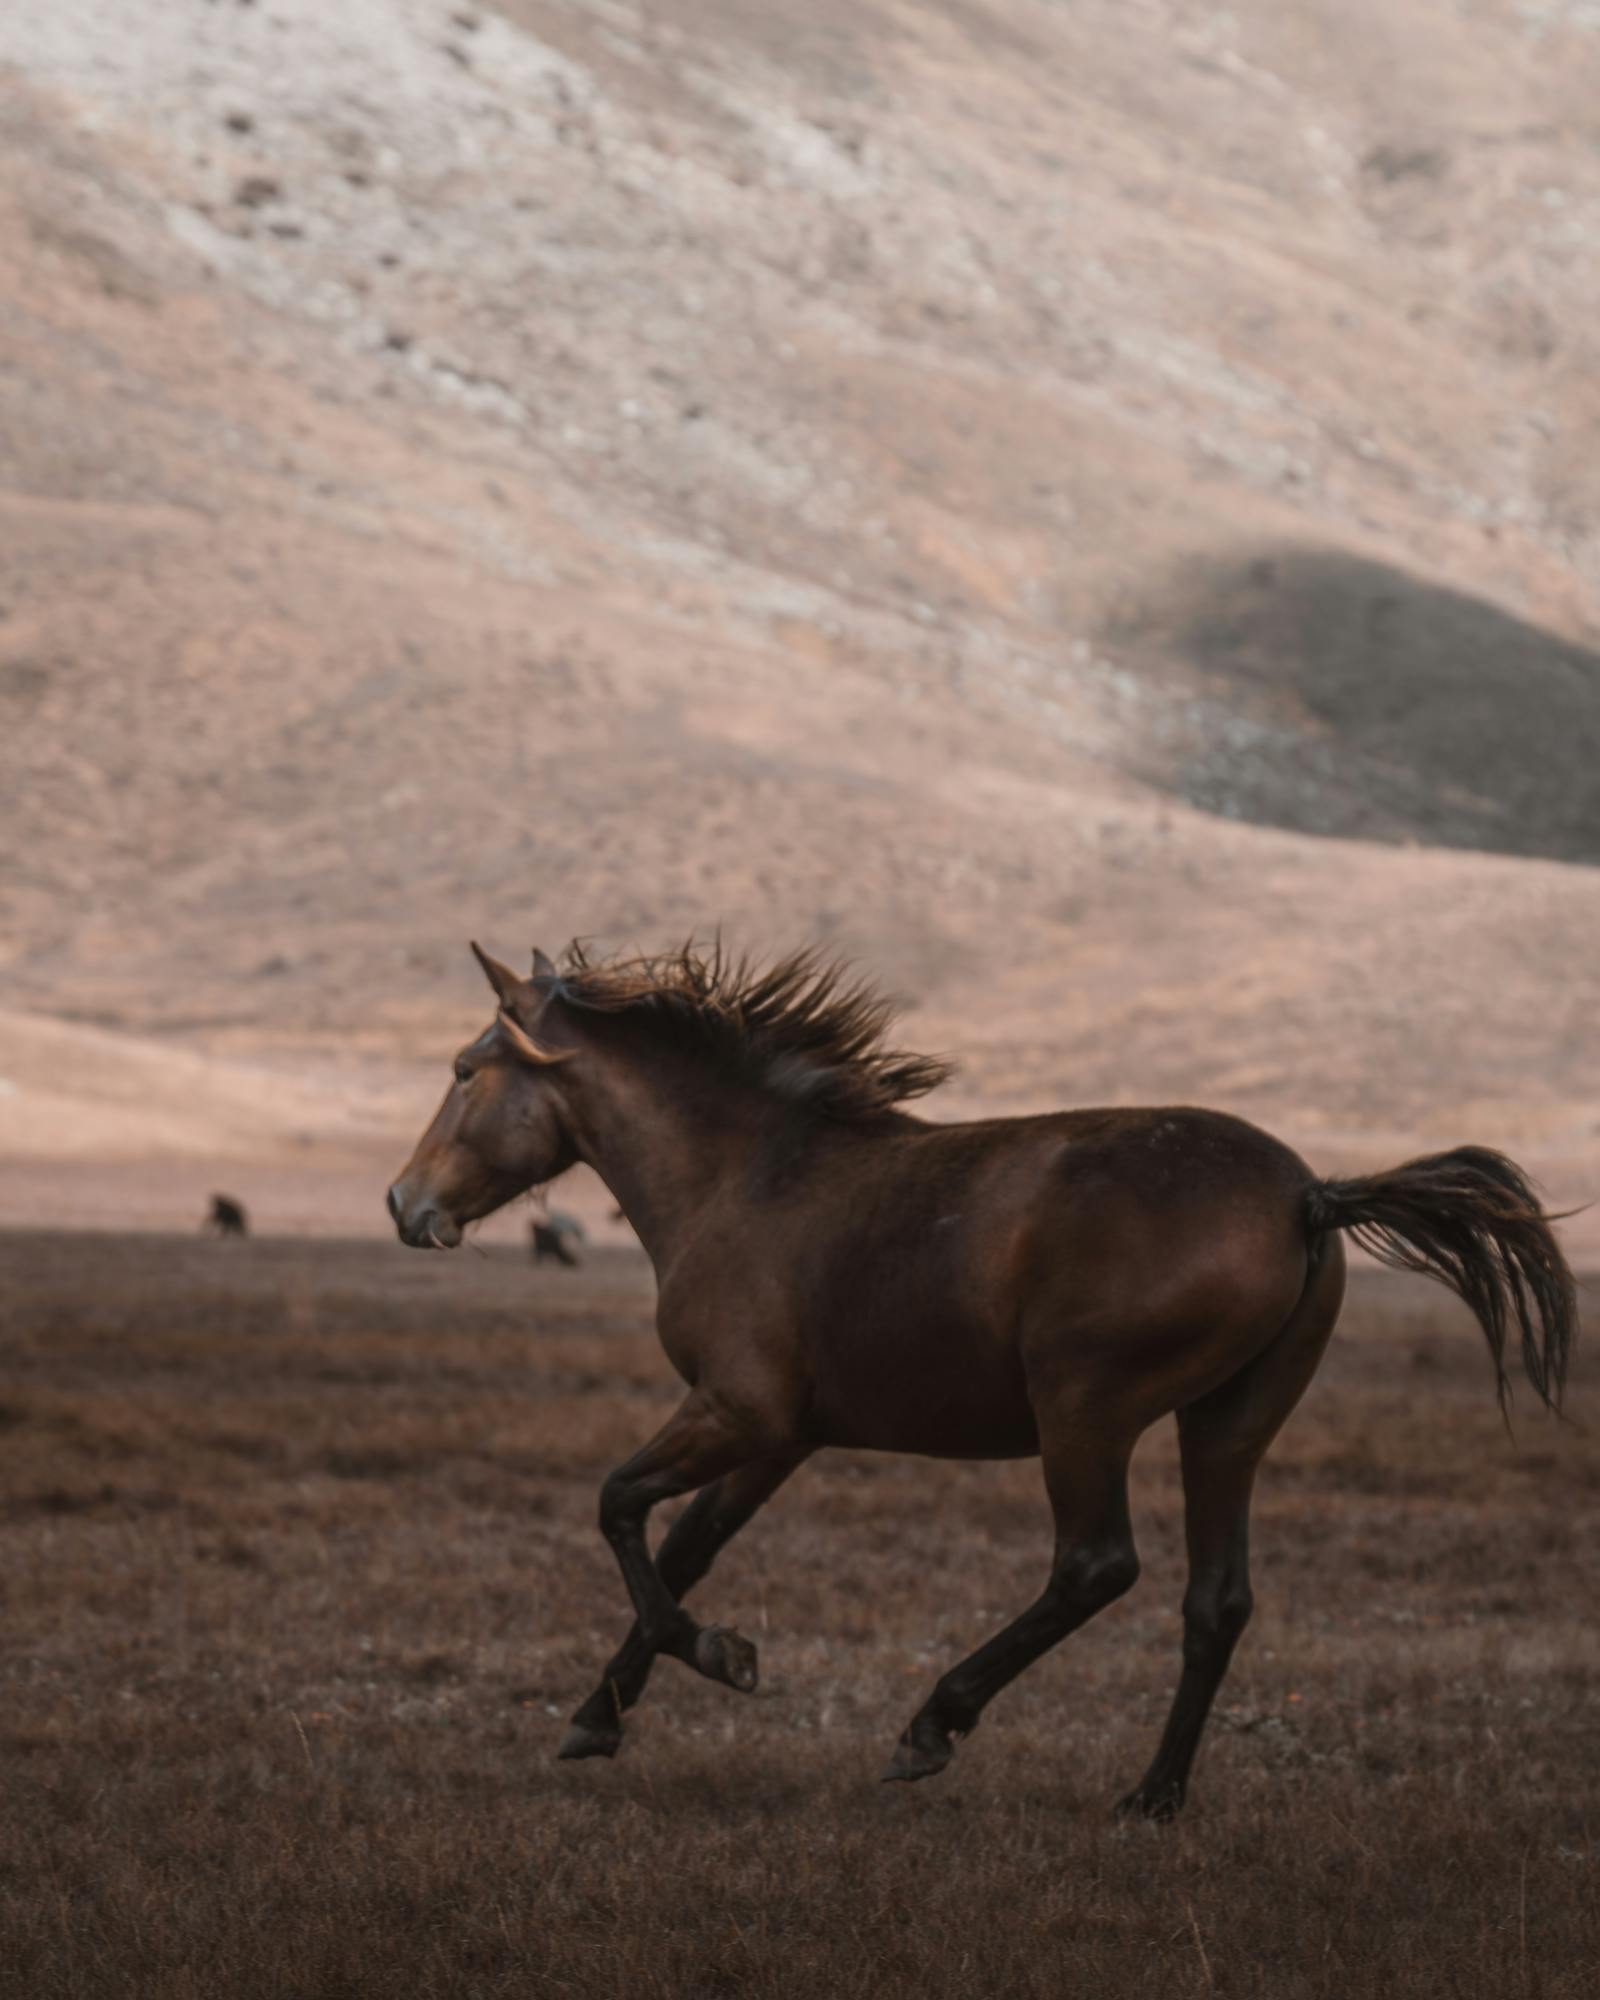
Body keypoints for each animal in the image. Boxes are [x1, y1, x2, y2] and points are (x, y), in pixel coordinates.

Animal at [388, 936, 1576, 1816]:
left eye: (463, 1071)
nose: (404, 1205)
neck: (745, 1179)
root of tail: (1309, 1194)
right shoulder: (781, 1432)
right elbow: (686, 1543)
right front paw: (601, 1713)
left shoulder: (739, 1408)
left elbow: (620, 1505)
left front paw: (720, 1656)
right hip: (1227, 1422)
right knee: (1217, 1599)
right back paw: (1151, 1795)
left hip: (1085, 1409)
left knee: (1095, 1566)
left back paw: (934, 1723)